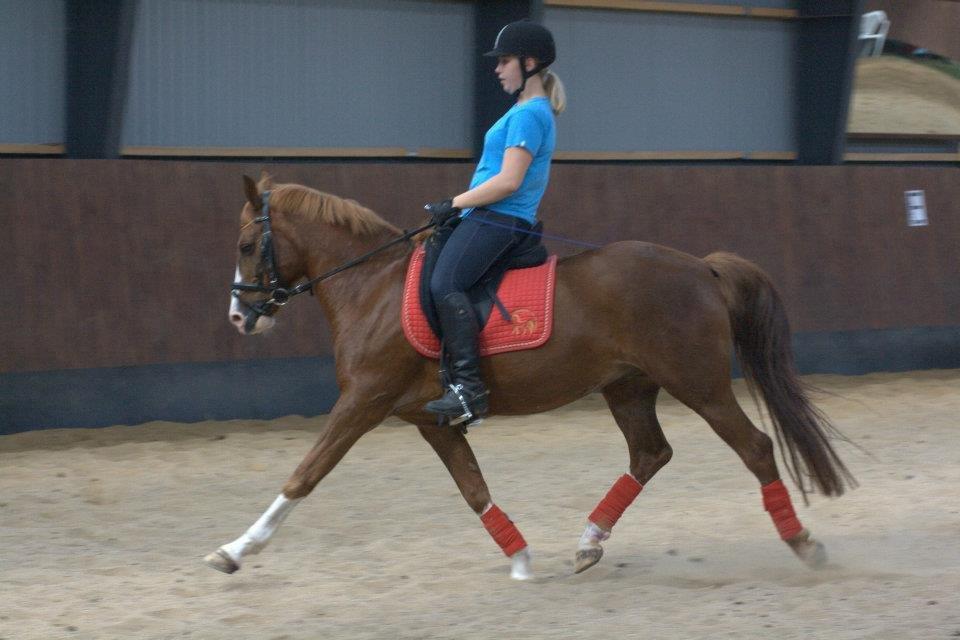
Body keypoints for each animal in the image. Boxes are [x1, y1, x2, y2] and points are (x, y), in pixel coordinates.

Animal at [207, 174, 854, 580]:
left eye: (247, 245)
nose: (239, 317)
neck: (373, 286)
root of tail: (703, 267)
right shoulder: (430, 421)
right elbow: (474, 489)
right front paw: (520, 560)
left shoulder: (363, 402)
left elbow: (305, 475)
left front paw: (234, 550)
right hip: (628, 387)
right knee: (650, 453)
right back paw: (588, 544)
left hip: (700, 386)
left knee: (755, 447)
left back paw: (804, 544)